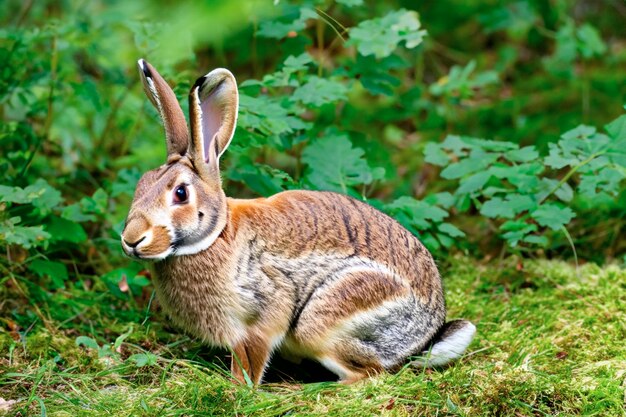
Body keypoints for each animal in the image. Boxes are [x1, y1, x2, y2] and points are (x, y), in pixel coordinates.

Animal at [120, 58, 472, 384]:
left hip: (329, 316)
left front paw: (240, 388)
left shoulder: (264, 312)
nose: (131, 239)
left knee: (369, 373)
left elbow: (252, 358)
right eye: (141, 184)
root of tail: (424, 338)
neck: (214, 235)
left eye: (180, 193)